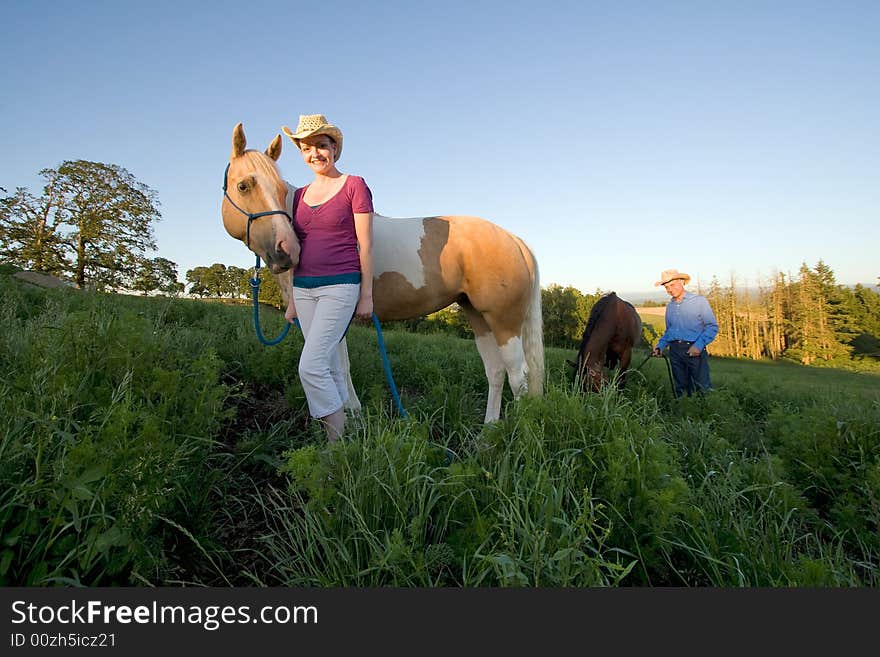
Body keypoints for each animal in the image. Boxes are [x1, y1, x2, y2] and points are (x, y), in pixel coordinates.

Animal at [220, 122, 544, 420]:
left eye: (280, 189)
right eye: (244, 186)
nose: (287, 251)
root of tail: (513, 239)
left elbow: (336, 365)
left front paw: (350, 414)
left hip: (504, 323)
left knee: (519, 377)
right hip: (478, 317)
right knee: (496, 371)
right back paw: (489, 429)